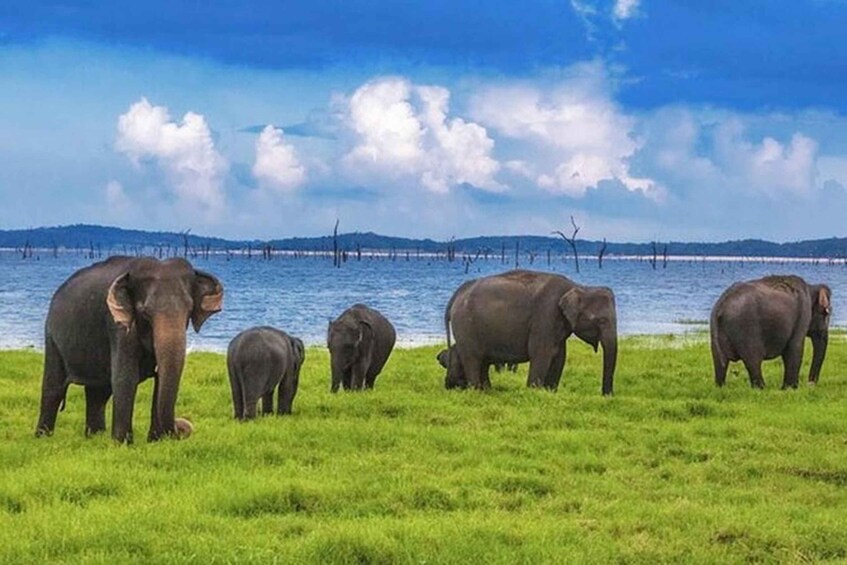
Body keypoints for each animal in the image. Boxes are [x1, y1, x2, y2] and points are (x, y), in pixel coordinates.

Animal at [35, 256, 223, 443]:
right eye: (144, 312)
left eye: (189, 310)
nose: (182, 427)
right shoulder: (117, 324)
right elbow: (126, 378)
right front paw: (123, 443)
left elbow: (160, 379)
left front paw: (156, 441)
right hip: (52, 337)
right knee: (54, 388)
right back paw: (43, 437)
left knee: (98, 392)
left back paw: (95, 437)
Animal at [445, 270, 618, 395]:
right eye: (602, 321)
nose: (606, 395)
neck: (579, 286)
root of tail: (458, 293)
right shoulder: (545, 316)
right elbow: (541, 353)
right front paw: (534, 392)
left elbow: (559, 357)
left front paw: (550, 393)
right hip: (465, 327)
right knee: (473, 359)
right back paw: (477, 392)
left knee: (483, 362)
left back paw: (487, 390)